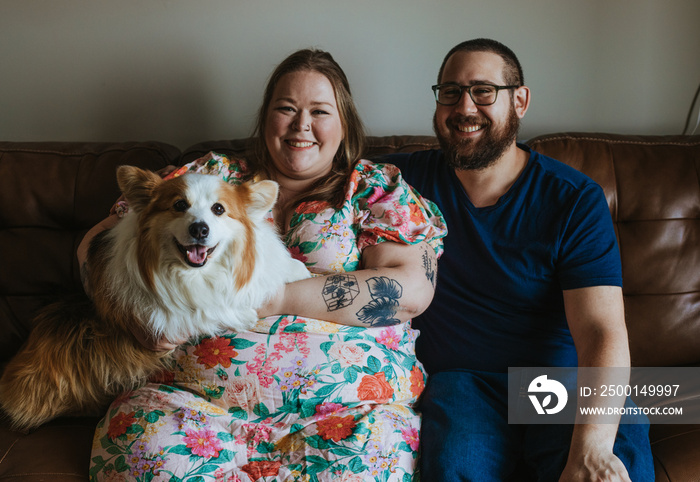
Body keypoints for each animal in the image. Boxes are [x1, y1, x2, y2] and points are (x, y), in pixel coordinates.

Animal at [0, 166, 308, 430]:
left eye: (219, 209)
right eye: (179, 205)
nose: (199, 229)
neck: (196, 274)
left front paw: (296, 269)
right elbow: (211, 311)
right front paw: (243, 311)